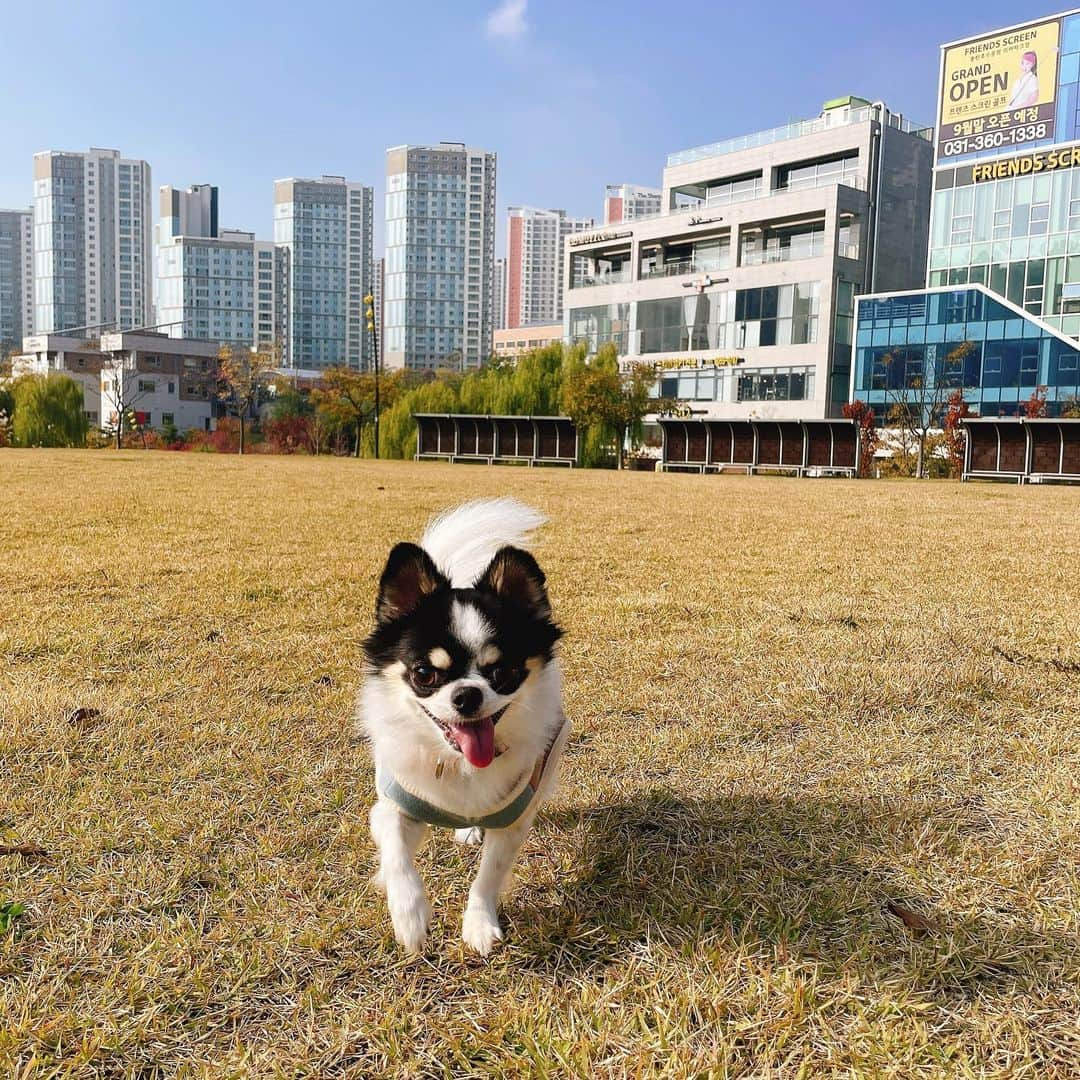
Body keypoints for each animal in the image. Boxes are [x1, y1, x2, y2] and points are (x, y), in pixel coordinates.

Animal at [358, 496, 570, 954]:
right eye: (424, 674)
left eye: (503, 673)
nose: (467, 694)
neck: (458, 763)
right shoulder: (394, 806)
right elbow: (396, 855)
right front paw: (410, 916)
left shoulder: (513, 820)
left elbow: (489, 876)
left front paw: (479, 924)